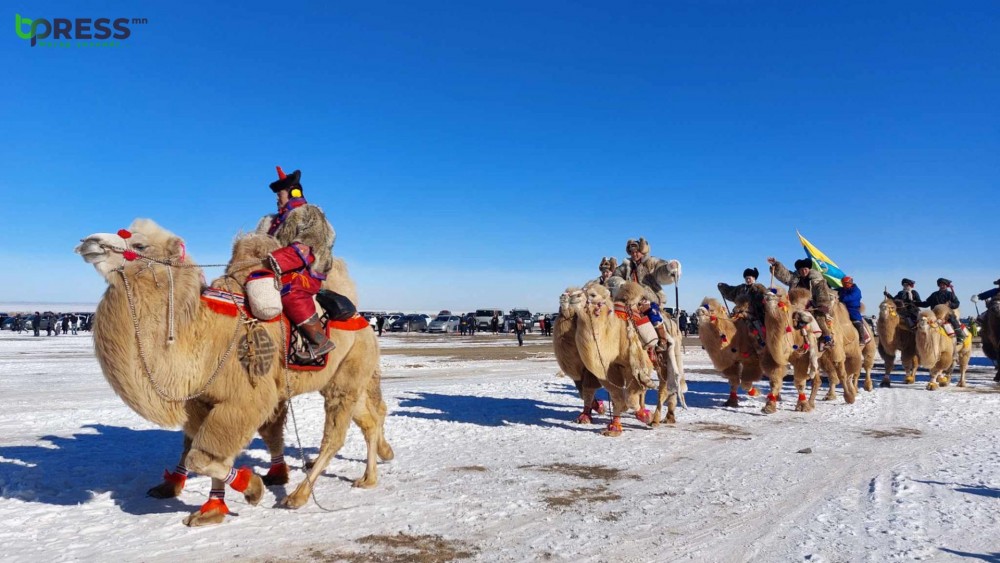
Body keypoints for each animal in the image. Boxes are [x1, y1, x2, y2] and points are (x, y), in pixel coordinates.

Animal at [75, 220, 390, 528]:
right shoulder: (203, 401)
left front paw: (252, 488)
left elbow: (200, 456)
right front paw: (212, 509)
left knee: (335, 436)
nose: (89, 242)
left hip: (347, 374)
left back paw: (298, 496)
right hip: (345, 379)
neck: (200, 335)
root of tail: (363, 322)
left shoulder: (245, 399)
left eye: (140, 245)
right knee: (369, 420)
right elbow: (201, 451)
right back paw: (368, 477)